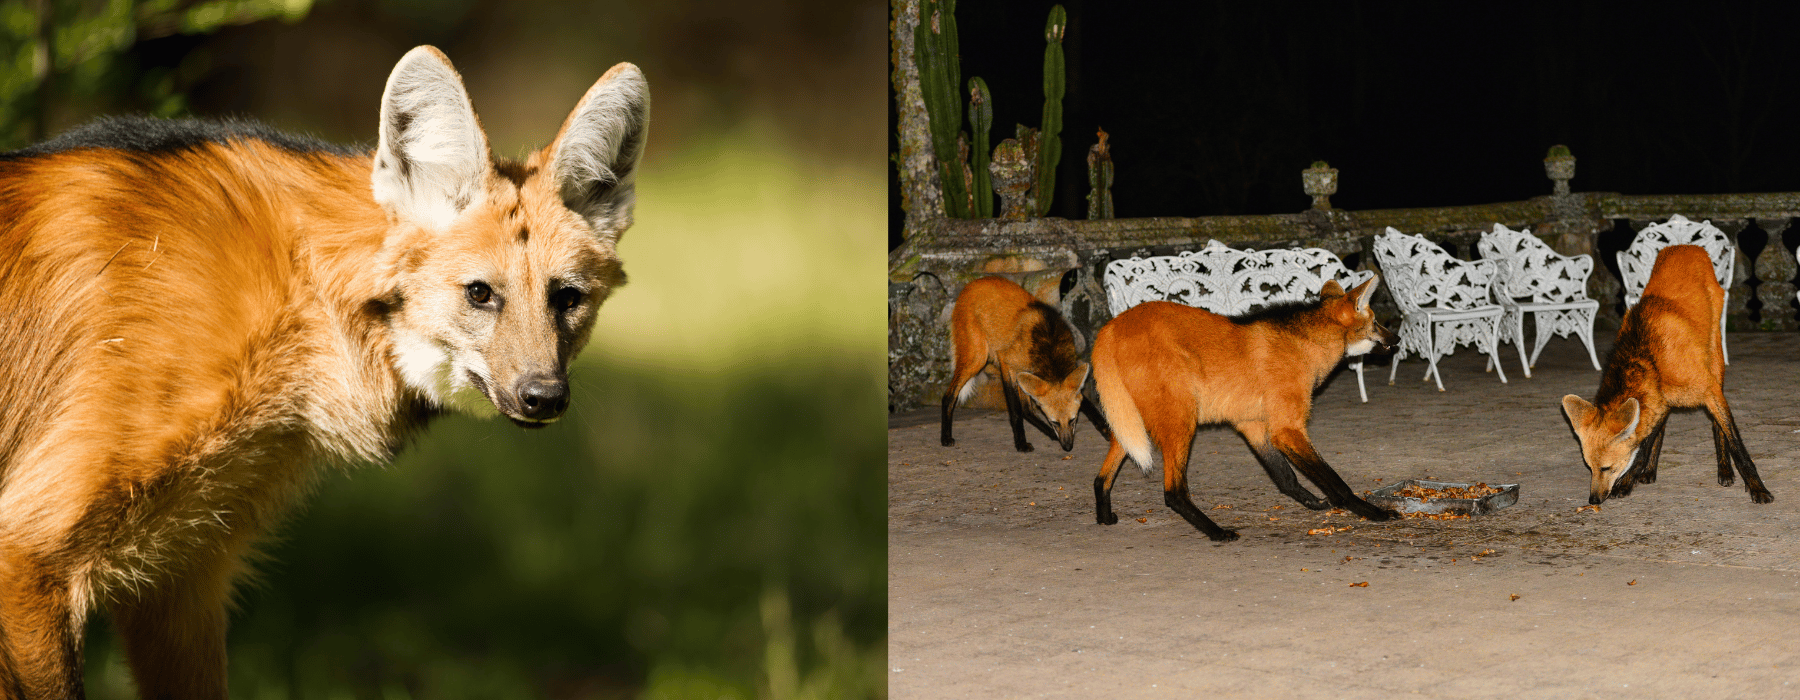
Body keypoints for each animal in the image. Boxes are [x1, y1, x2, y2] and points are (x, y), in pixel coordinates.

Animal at [0, 46, 648, 697]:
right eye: (480, 293)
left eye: (566, 298)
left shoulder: (180, 577)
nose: (544, 396)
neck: (302, 296)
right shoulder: (27, 551)